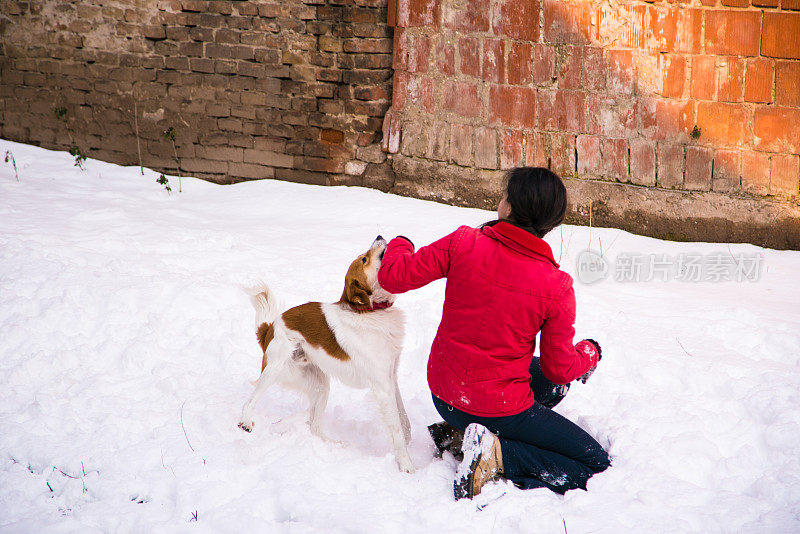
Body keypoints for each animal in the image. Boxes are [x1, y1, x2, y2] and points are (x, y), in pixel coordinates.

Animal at [238, 237, 416, 476]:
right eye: (364, 259)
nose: (379, 236)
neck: (369, 312)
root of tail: (270, 328)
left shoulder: (390, 377)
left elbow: (403, 418)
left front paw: (408, 440)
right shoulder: (382, 386)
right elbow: (395, 428)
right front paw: (406, 466)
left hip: (320, 384)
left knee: (314, 426)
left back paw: (331, 445)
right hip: (275, 369)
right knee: (252, 399)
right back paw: (245, 421)